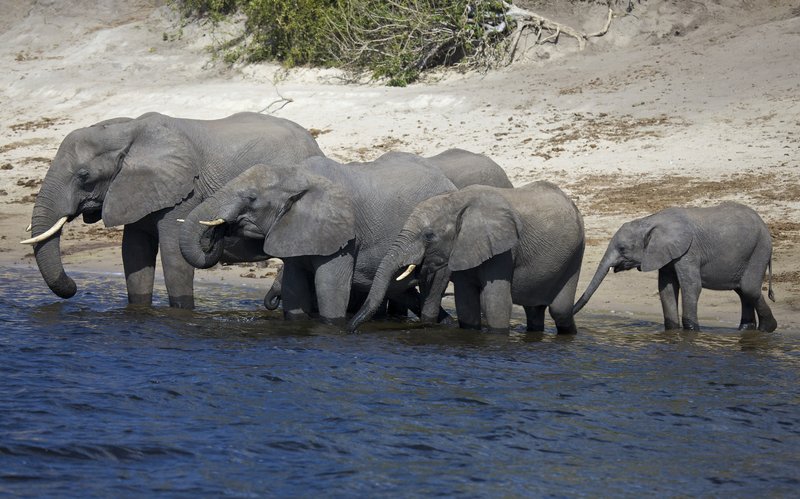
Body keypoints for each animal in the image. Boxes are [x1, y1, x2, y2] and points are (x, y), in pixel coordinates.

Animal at [21, 112, 323, 309]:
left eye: (83, 176)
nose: (73, 286)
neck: (128, 130)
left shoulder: (182, 193)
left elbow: (173, 255)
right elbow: (134, 253)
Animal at [179, 155, 458, 322]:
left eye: (251, 198)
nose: (221, 228)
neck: (297, 174)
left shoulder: (343, 237)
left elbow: (329, 290)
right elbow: (294, 292)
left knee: (432, 290)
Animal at [347, 181, 586, 334]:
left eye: (428, 235)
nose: (350, 331)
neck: (457, 201)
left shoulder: (504, 249)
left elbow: (494, 303)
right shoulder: (462, 247)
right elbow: (466, 303)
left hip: (576, 253)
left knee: (560, 310)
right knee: (535, 310)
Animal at [572, 202, 777, 332]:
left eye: (623, 248)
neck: (650, 221)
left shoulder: (688, 252)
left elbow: (691, 286)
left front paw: (691, 331)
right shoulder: (665, 255)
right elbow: (666, 288)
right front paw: (673, 331)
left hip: (760, 249)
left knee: (749, 289)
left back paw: (768, 329)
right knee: (743, 291)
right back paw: (747, 330)